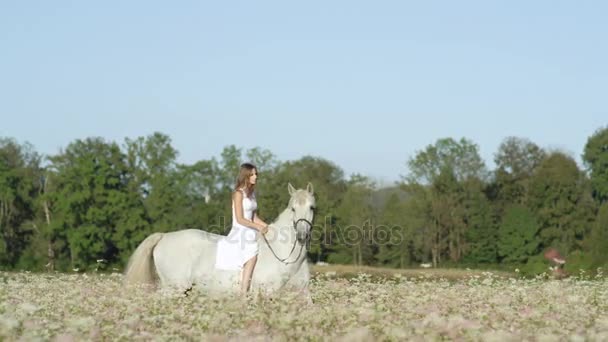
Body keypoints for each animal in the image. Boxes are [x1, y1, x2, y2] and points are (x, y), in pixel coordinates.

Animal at [121, 182, 316, 300]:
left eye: (312, 207)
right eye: (293, 209)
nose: (301, 236)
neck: (283, 254)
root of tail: (164, 236)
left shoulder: (303, 294)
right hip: (173, 289)